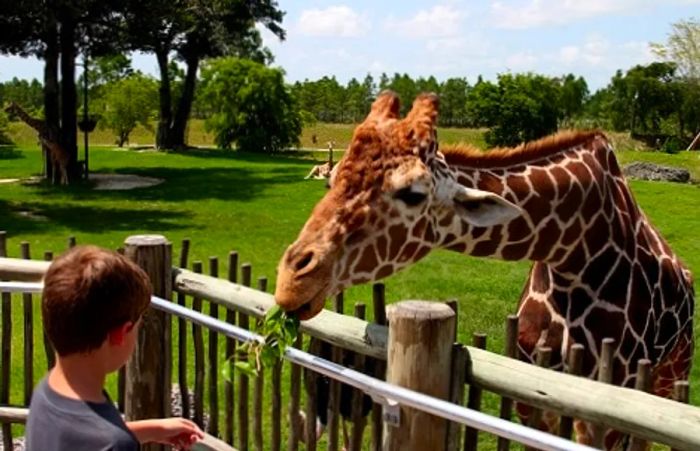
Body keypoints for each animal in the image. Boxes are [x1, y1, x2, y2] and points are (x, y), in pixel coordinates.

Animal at [274, 92, 696, 448]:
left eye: (412, 193)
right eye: (332, 179)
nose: (291, 282)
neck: (574, 253)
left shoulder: (603, 409)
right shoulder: (533, 396)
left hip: (670, 373)